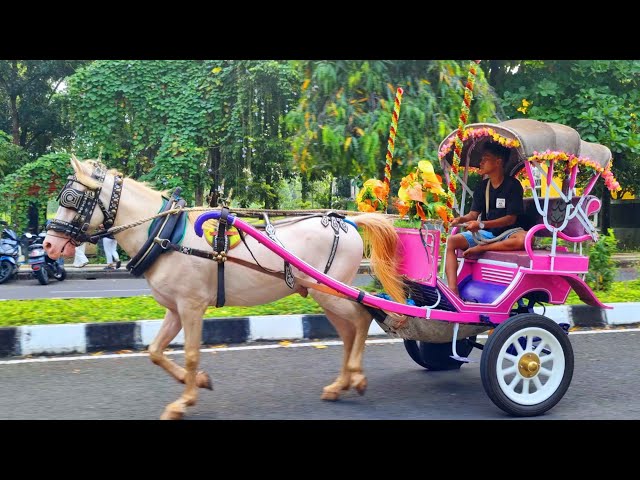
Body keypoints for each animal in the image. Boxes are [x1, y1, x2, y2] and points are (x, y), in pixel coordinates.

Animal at [42, 158, 404, 420]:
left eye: (72, 199)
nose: (48, 244)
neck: (164, 234)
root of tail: (350, 222)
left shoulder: (191, 306)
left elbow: (190, 354)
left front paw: (184, 401)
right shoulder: (174, 308)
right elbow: (156, 351)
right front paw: (198, 382)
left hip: (329, 291)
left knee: (361, 319)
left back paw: (356, 377)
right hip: (324, 294)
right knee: (349, 330)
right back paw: (340, 384)